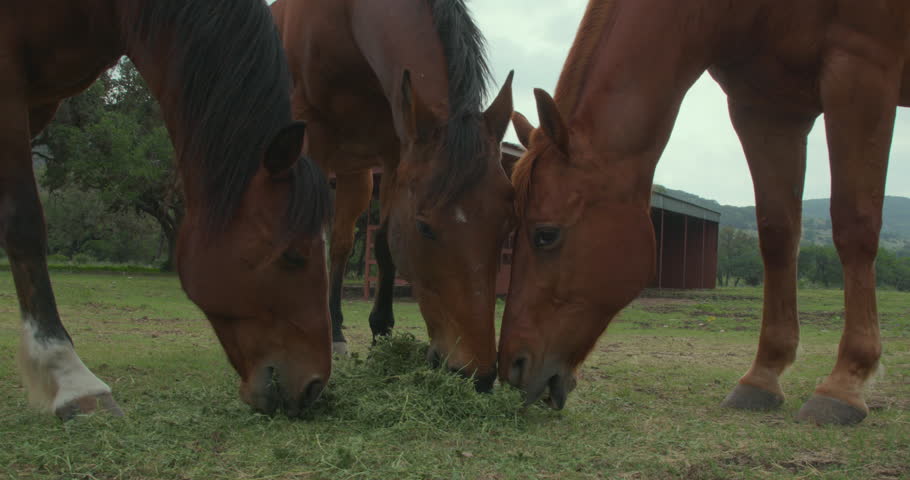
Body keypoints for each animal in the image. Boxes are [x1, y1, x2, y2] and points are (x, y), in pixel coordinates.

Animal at [271, 0, 515, 391]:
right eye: (425, 227)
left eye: (507, 224)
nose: (476, 375)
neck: (344, 20)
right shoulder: (312, 139)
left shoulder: (393, 150)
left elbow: (384, 245)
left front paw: (382, 333)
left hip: (356, 177)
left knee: (340, 245)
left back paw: (336, 330)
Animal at [499, 0, 909, 425]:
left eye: (545, 234)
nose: (512, 367)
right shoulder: (765, 107)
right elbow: (777, 235)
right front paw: (762, 377)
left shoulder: (861, 70)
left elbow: (853, 225)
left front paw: (845, 383)